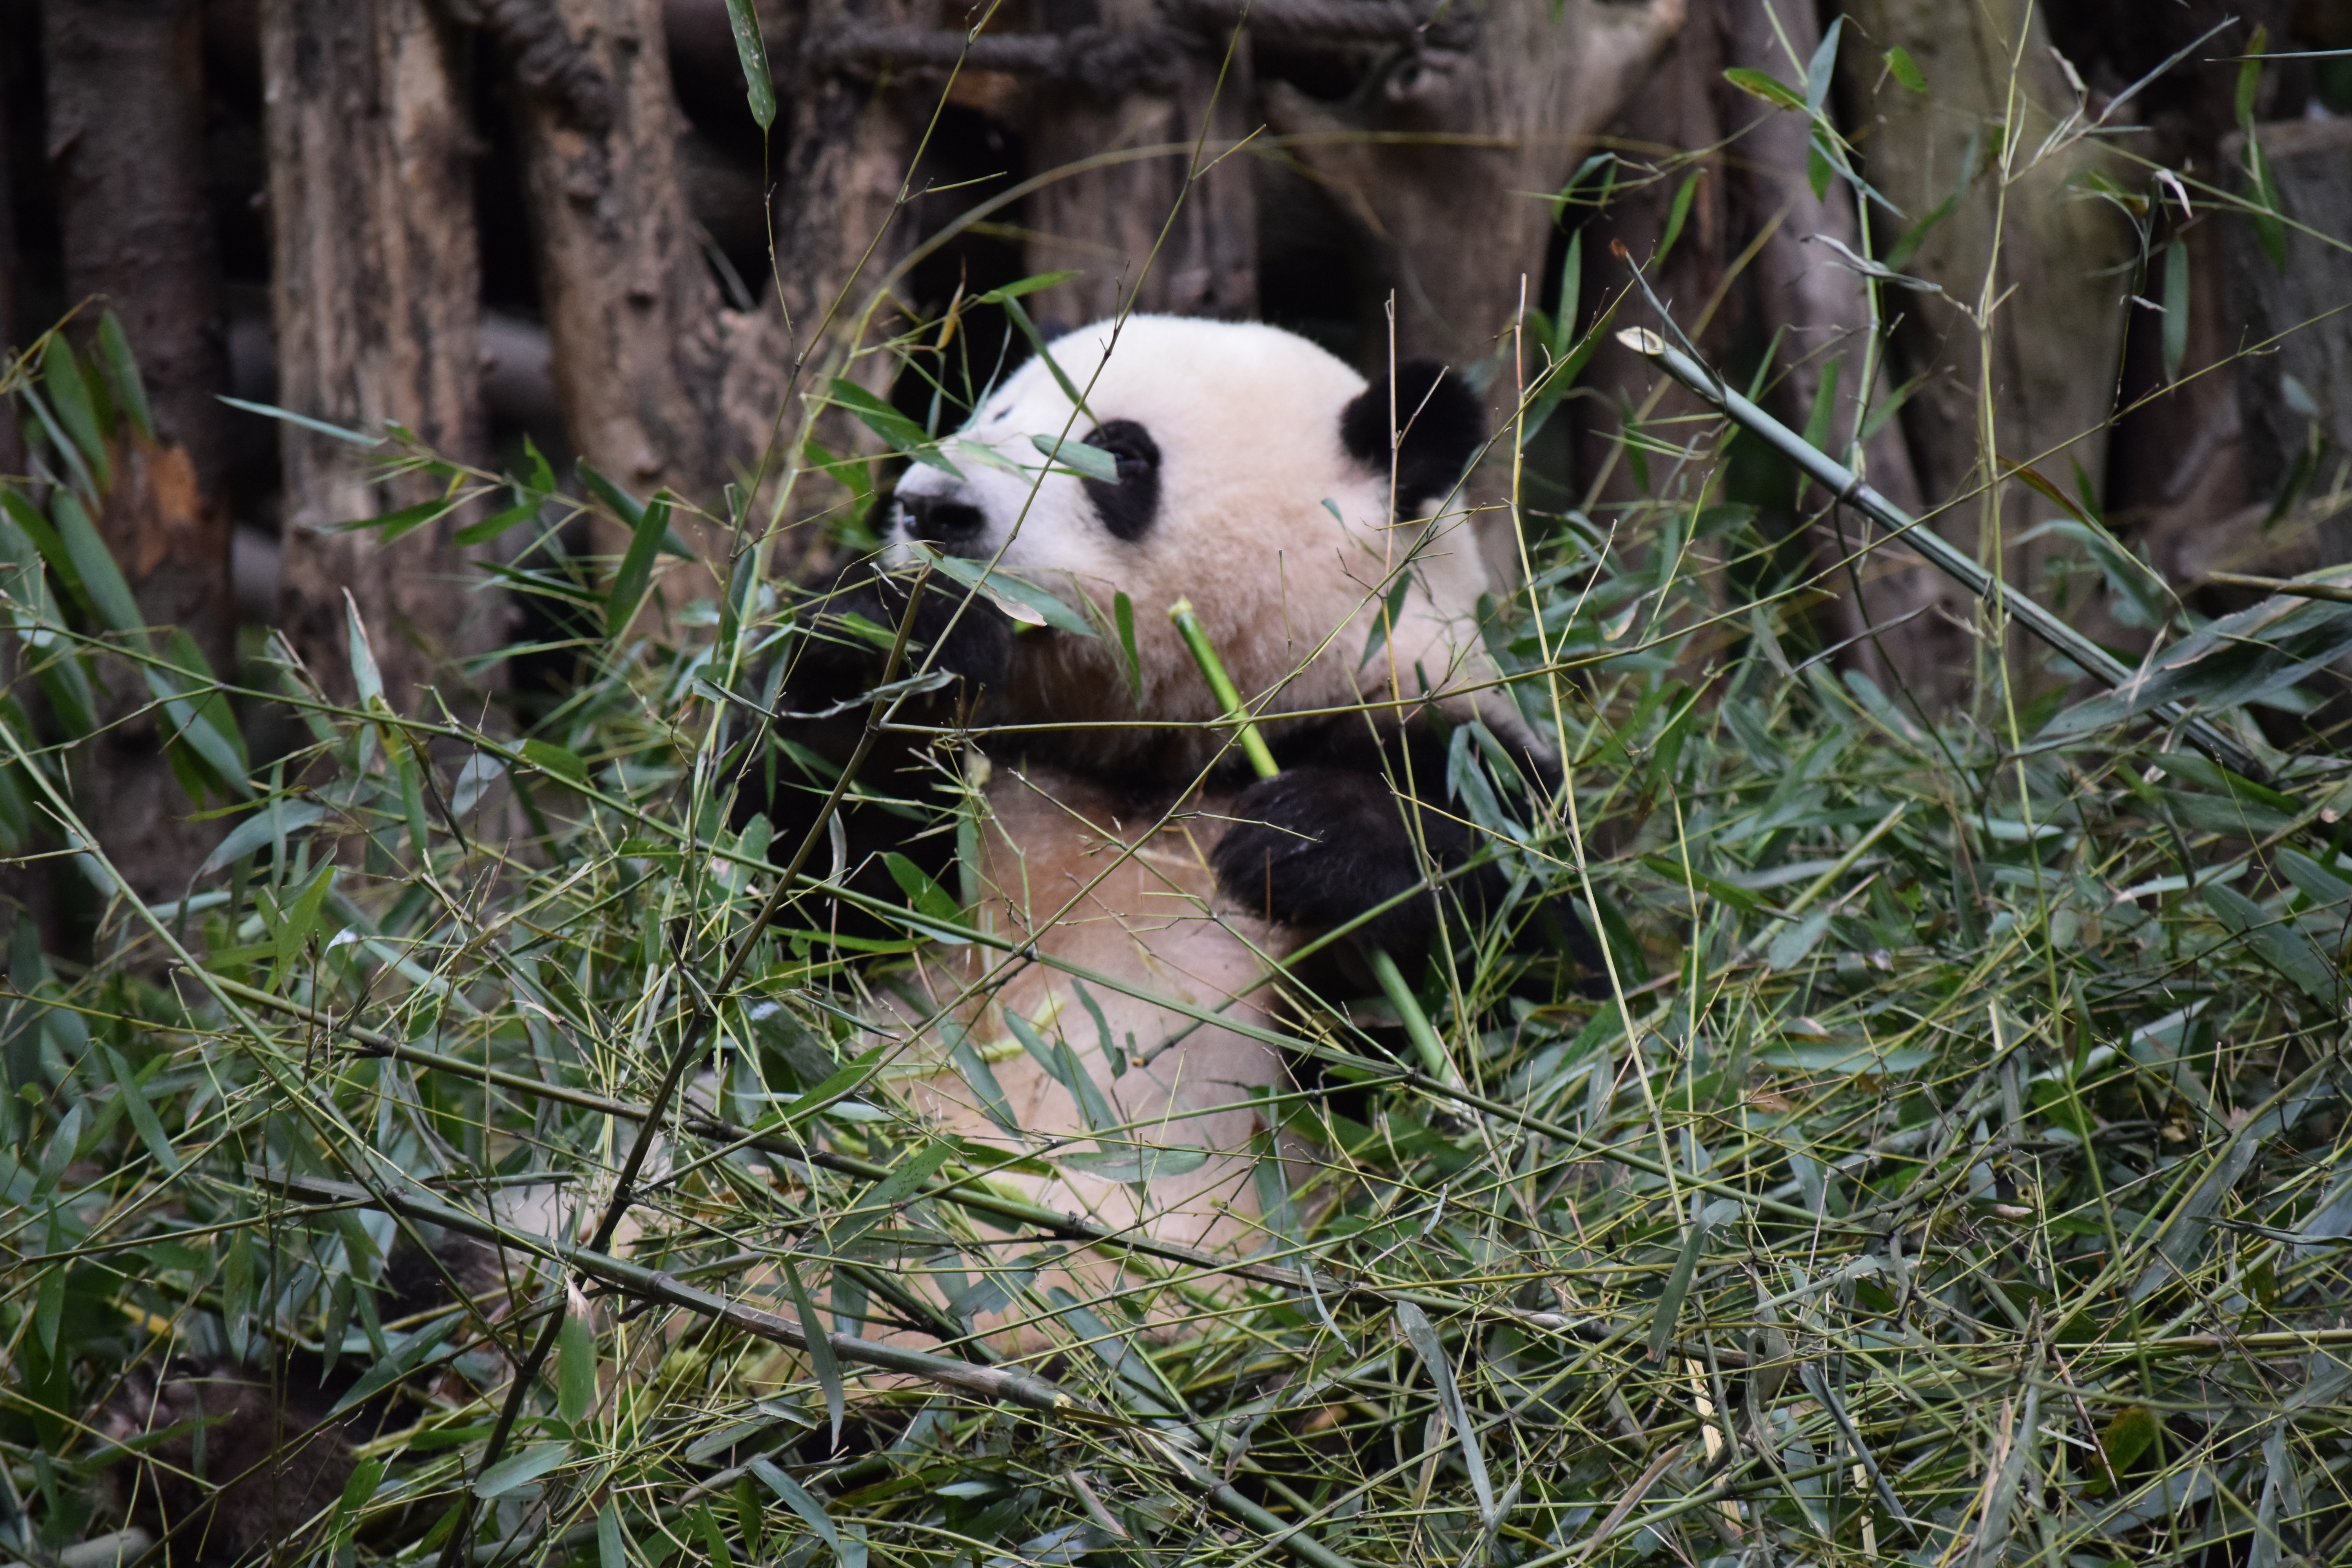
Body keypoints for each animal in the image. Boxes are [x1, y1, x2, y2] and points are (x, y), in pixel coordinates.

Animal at [757, 315, 1585, 1286]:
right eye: (991, 413)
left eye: (1121, 452)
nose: (934, 510)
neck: (1154, 762)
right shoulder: (987, 796)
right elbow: (792, 894)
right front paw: (901, 626)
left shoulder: (1460, 747)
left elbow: (1530, 1013)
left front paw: (1310, 843)